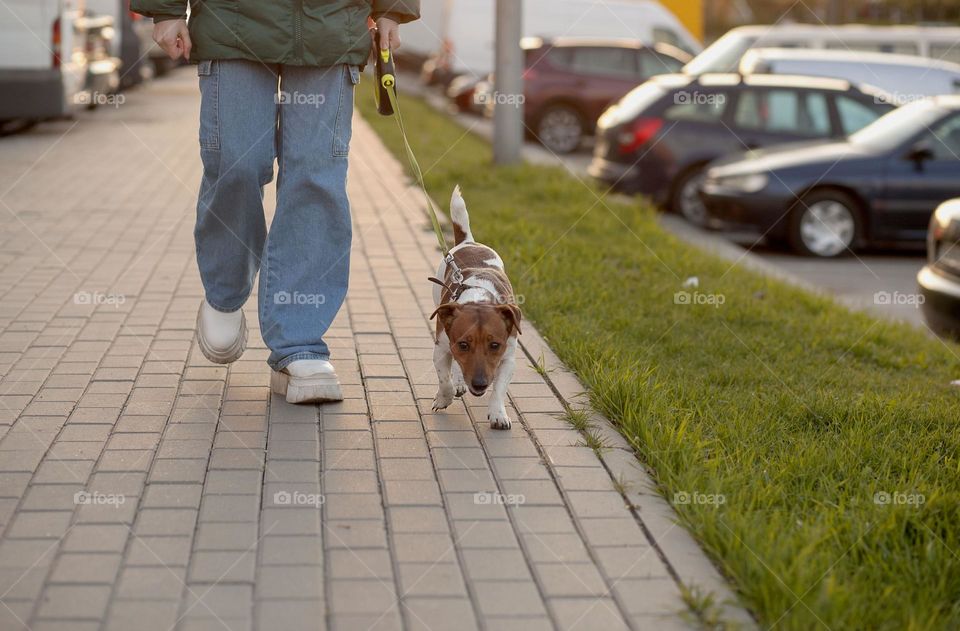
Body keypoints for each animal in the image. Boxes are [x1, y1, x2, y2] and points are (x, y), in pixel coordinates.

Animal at [432, 186, 520, 430]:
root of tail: (469, 241)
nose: (480, 384)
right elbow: (444, 380)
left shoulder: (509, 357)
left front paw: (498, 414)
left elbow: (499, 389)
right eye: (464, 344)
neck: (479, 298)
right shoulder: (441, 347)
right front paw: (444, 397)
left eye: (494, 345)